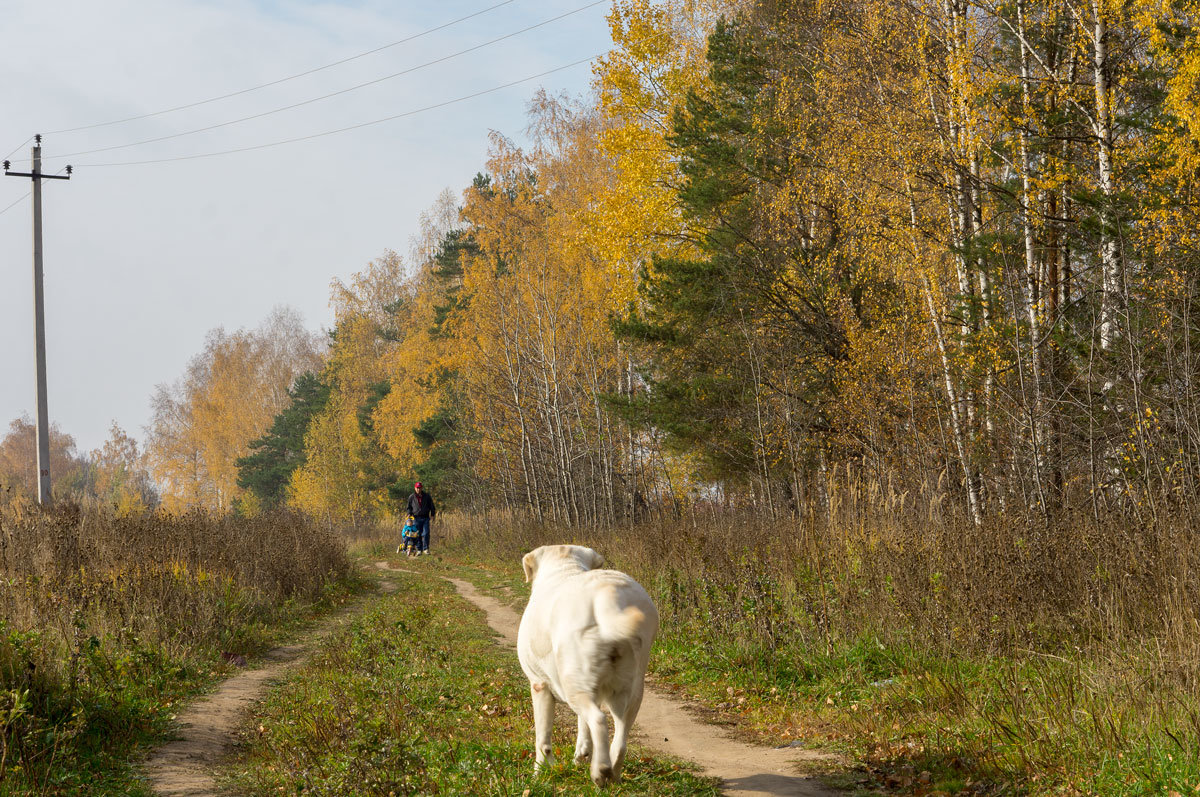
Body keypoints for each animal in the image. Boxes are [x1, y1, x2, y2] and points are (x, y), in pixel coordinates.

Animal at [518, 544, 662, 787]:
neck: (565, 567)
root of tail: (608, 594)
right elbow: (583, 728)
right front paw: (580, 755)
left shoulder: (539, 686)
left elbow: (542, 739)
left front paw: (539, 772)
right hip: (630, 691)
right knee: (620, 736)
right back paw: (613, 772)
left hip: (573, 687)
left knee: (599, 720)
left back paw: (600, 771)